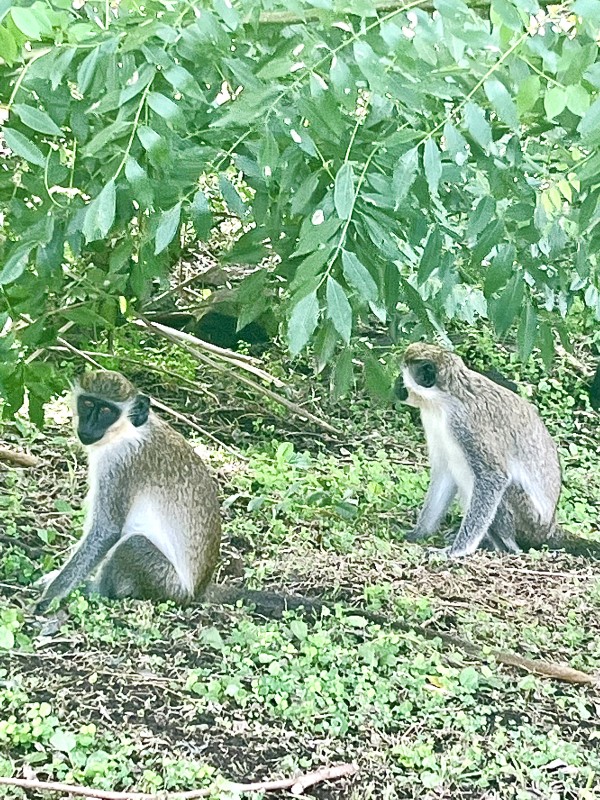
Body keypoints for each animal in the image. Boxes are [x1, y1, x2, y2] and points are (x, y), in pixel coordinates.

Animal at [394, 342, 564, 556]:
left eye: (401, 378)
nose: (395, 386)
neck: (444, 401)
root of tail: (549, 529)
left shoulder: (466, 423)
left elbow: (494, 476)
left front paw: (455, 551)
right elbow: (444, 472)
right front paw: (419, 532)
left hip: (528, 521)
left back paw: (503, 546)